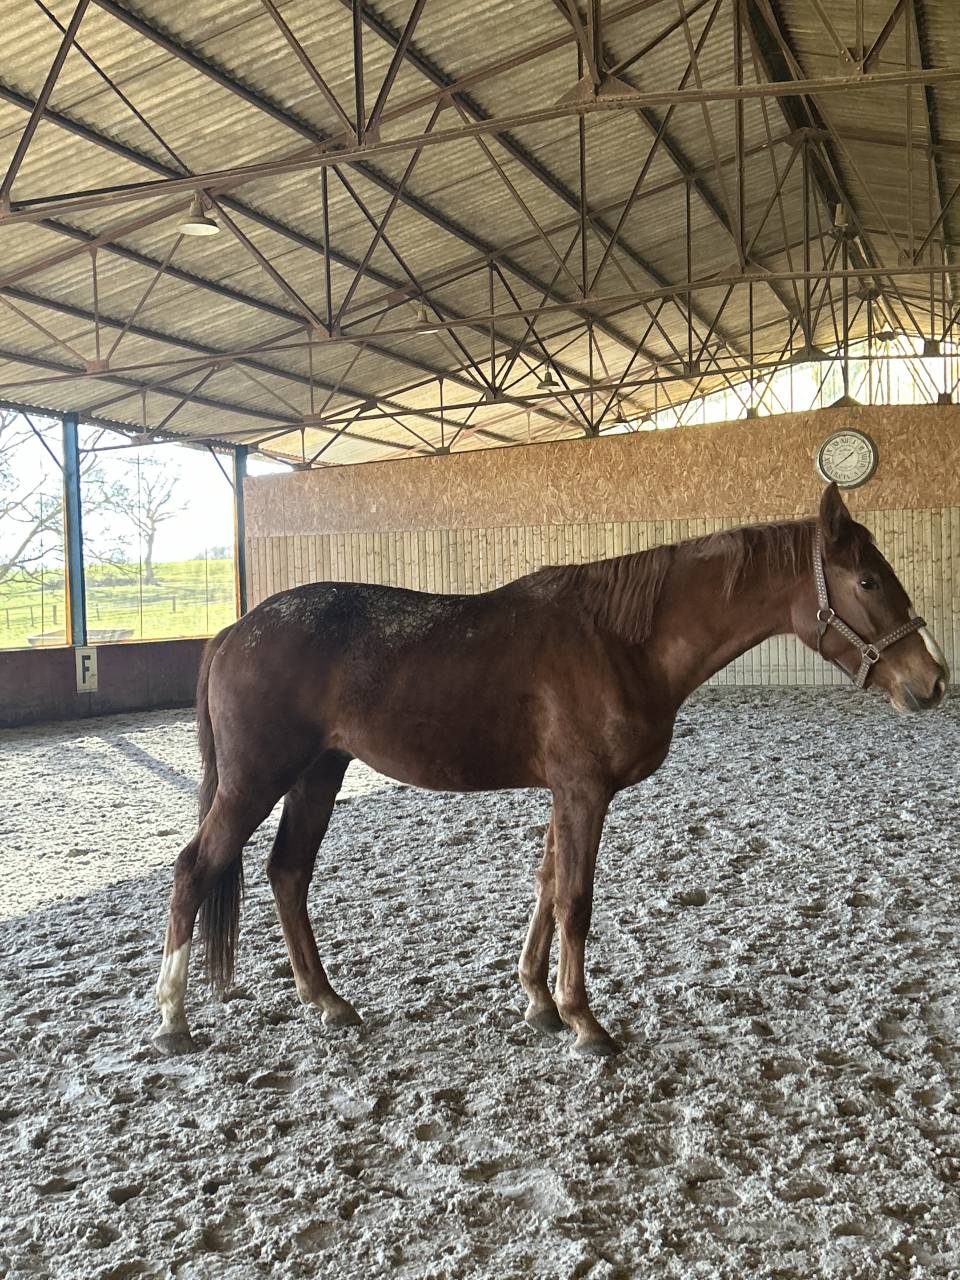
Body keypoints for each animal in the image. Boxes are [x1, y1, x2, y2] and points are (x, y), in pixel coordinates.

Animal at [153, 483, 948, 1058]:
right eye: (869, 581)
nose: (931, 681)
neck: (620, 641)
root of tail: (234, 630)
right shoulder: (583, 791)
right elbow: (575, 899)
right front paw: (585, 1023)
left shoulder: (566, 794)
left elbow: (544, 884)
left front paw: (538, 1003)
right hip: (256, 781)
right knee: (195, 869)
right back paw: (172, 1022)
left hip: (318, 775)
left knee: (288, 874)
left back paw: (328, 1002)